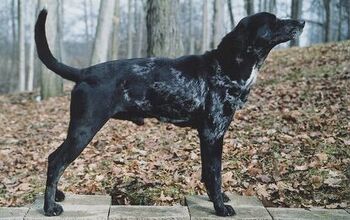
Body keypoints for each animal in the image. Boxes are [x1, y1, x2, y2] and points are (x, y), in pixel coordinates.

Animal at [34, 9, 304, 217]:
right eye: (273, 21)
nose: (302, 22)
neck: (227, 65)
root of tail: (84, 72)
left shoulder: (209, 136)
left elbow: (208, 174)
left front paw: (216, 199)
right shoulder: (213, 134)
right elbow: (215, 174)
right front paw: (219, 207)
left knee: (53, 159)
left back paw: (56, 195)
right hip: (83, 130)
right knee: (56, 161)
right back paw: (49, 207)